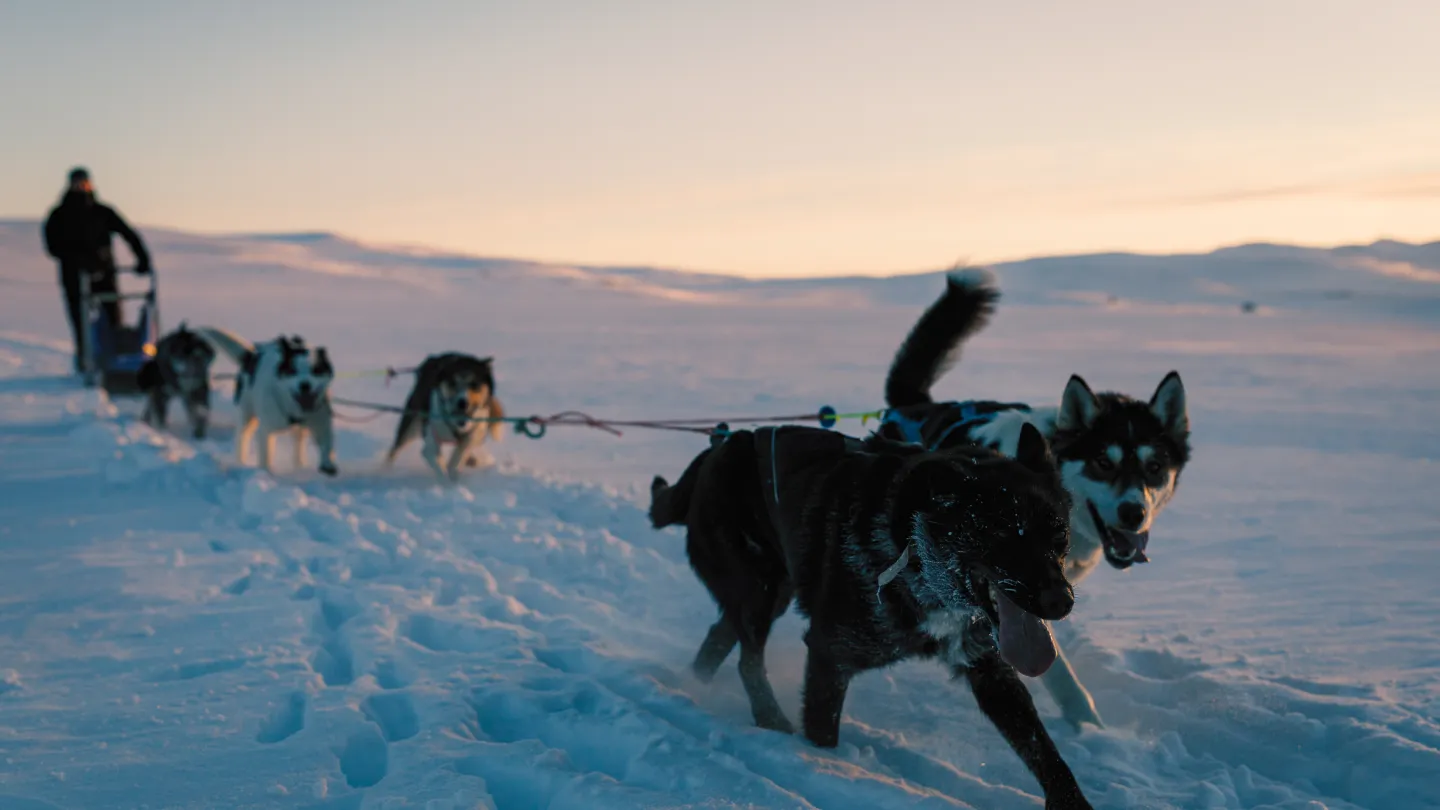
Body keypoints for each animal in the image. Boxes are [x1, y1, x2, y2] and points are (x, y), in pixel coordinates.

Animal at [653, 423, 1088, 807]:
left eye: (1059, 535)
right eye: (1004, 534)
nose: (1062, 602)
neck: (912, 552)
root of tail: (722, 445)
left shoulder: (989, 669)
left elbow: (1044, 751)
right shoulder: (830, 655)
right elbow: (823, 728)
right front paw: (824, 761)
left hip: (769, 592)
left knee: (720, 637)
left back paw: (695, 685)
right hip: (758, 591)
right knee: (748, 660)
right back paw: (768, 719)